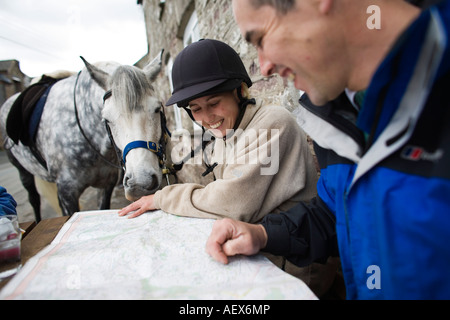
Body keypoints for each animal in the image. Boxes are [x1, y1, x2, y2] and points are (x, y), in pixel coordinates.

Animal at [0, 53, 165, 222]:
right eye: (106, 118)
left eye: (157, 108)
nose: (140, 183)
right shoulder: (67, 192)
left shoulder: (106, 185)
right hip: (23, 172)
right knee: (33, 198)